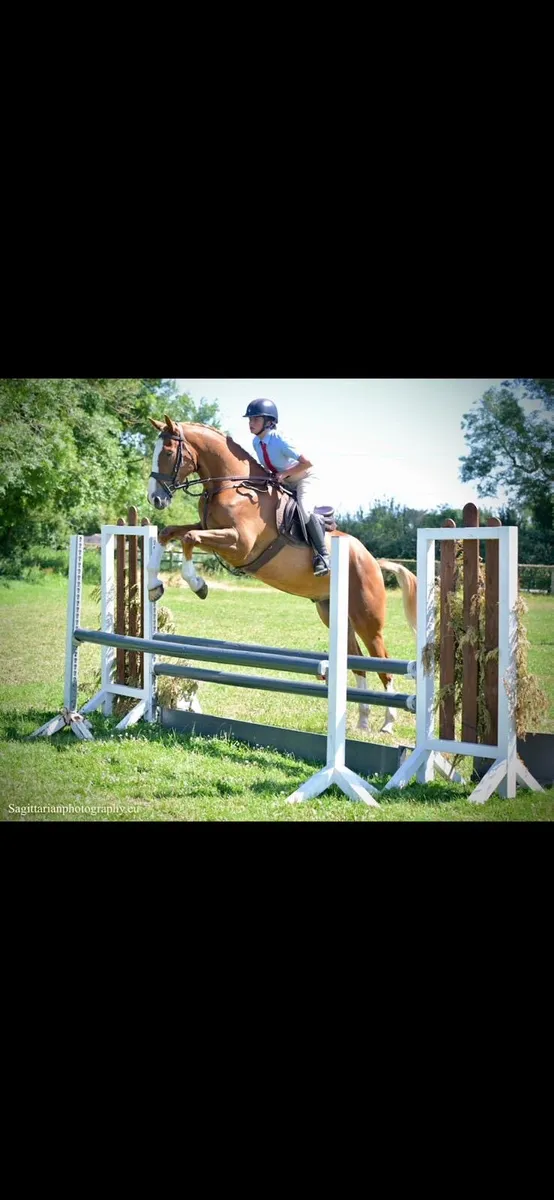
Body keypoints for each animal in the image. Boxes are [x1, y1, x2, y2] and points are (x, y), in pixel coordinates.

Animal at [146, 416, 417, 736]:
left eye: (166, 452)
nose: (155, 499)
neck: (231, 486)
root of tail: (372, 560)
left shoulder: (239, 544)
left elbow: (188, 539)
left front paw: (198, 585)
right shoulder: (207, 528)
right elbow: (168, 533)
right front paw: (154, 585)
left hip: (367, 617)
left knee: (384, 663)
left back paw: (388, 722)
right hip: (334, 613)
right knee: (359, 661)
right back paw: (362, 720)